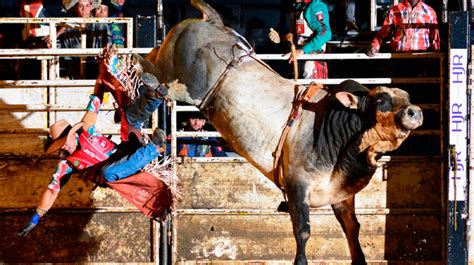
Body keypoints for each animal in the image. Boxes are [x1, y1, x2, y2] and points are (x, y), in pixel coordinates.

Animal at [143, 1, 422, 262]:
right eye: (381, 100)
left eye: (407, 97)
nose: (415, 111)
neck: (340, 130)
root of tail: (212, 22)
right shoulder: (298, 185)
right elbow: (303, 231)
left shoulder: (342, 194)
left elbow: (353, 229)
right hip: (177, 77)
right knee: (152, 71)